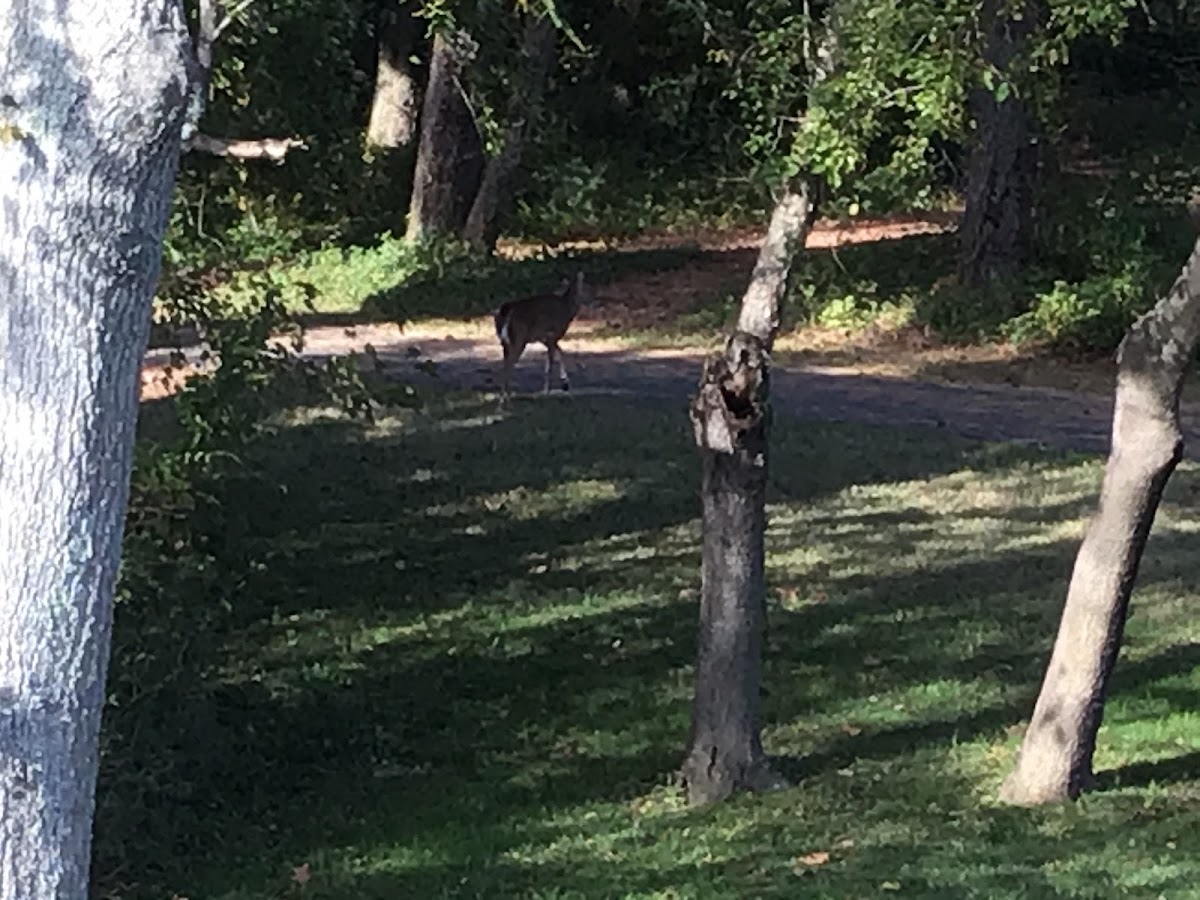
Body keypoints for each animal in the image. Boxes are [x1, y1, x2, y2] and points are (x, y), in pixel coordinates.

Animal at [494, 270, 592, 403]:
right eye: (586, 287)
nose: (594, 297)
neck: (567, 308)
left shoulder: (543, 337)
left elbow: (559, 353)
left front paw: (565, 383)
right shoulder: (552, 334)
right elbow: (551, 363)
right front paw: (547, 391)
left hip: (505, 342)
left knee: (505, 364)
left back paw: (506, 397)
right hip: (519, 339)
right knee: (508, 365)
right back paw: (505, 399)